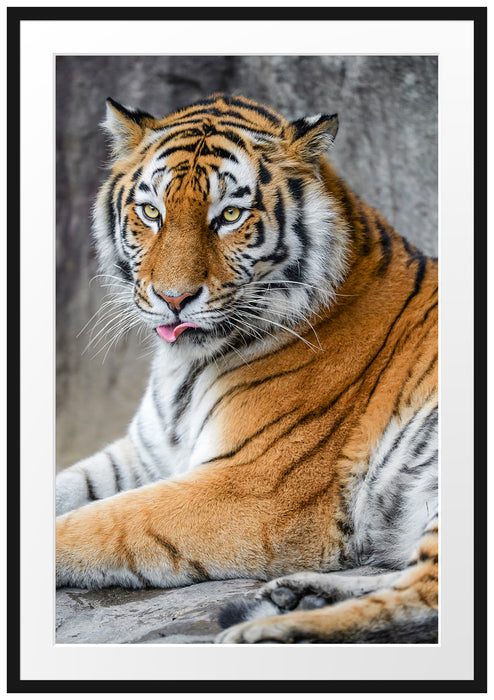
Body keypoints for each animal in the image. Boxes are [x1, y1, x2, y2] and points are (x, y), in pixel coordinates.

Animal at [56, 94, 438, 644]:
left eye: (230, 216)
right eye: (151, 212)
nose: (173, 299)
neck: (184, 368)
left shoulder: (250, 487)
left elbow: (102, 523)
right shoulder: (145, 455)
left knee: (424, 596)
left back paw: (267, 629)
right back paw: (295, 594)